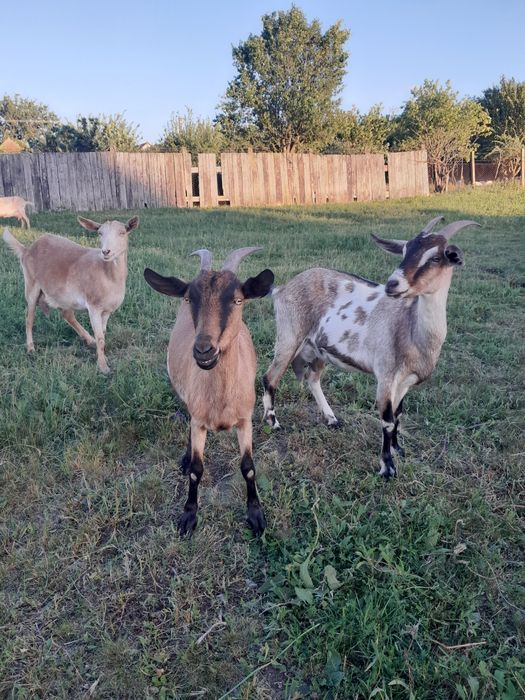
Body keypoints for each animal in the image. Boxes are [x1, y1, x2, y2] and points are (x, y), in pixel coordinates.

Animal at [3, 216, 139, 373]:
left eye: (122, 232)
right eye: (100, 233)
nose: (106, 252)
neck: (108, 275)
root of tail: (26, 249)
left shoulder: (106, 310)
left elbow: (103, 334)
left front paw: (102, 356)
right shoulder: (93, 306)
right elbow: (100, 337)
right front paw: (103, 366)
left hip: (62, 295)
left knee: (67, 314)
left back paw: (89, 340)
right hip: (31, 284)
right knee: (29, 318)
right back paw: (31, 348)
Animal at [144, 248, 274, 535]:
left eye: (238, 300)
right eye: (190, 298)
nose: (204, 350)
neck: (221, 401)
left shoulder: (245, 419)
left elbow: (248, 468)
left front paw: (255, 516)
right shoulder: (199, 421)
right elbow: (196, 469)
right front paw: (188, 516)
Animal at [262, 217, 480, 478]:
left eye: (436, 257)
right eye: (404, 250)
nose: (392, 285)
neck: (412, 330)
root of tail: (281, 289)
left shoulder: (405, 381)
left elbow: (398, 414)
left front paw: (398, 449)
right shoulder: (386, 375)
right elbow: (387, 419)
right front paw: (387, 468)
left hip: (319, 350)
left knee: (312, 379)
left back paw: (331, 419)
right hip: (289, 336)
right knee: (270, 377)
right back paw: (273, 422)